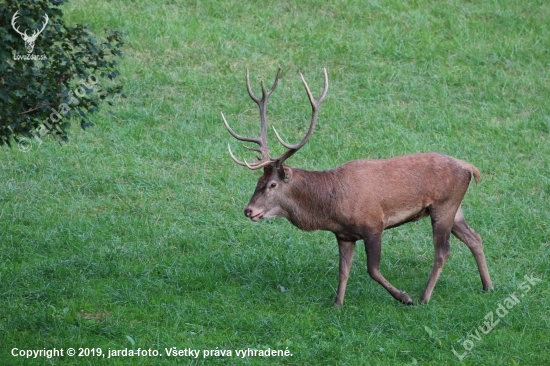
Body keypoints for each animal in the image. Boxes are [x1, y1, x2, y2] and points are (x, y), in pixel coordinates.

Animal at [224, 68, 496, 306]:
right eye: (257, 182)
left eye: (272, 184)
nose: (248, 210)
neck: (330, 208)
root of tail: (469, 167)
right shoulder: (344, 235)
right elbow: (343, 271)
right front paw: (337, 305)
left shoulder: (373, 224)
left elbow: (372, 269)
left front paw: (403, 297)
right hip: (454, 208)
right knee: (475, 237)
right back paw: (488, 286)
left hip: (444, 205)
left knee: (442, 252)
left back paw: (424, 298)